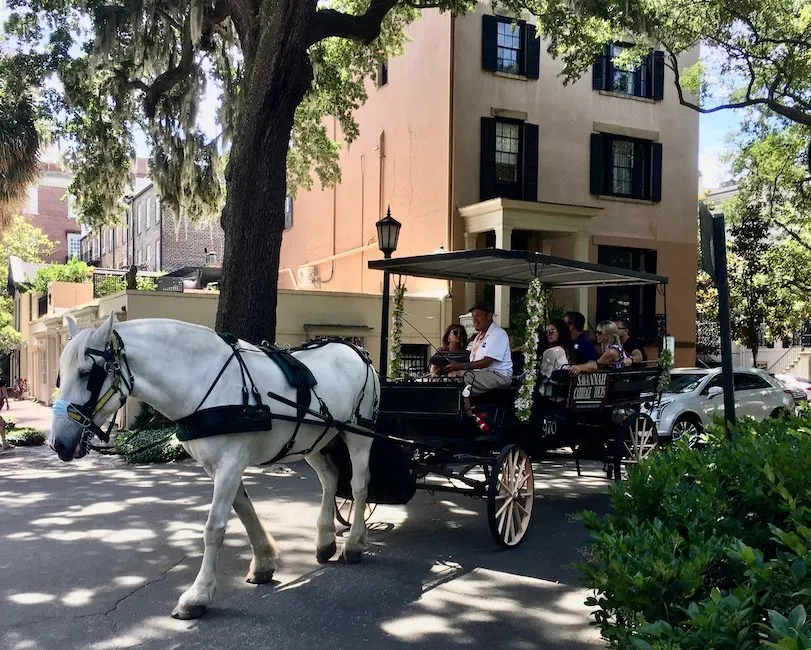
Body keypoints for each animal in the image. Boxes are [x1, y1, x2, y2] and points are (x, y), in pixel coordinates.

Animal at [50, 314, 378, 616]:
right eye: (60, 376)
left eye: (87, 373)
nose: (58, 443)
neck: (204, 383)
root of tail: (356, 351)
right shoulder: (218, 466)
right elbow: (244, 511)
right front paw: (263, 562)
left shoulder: (231, 463)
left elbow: (214, 528)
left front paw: (198, 594)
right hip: (314, 440)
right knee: (330, 479)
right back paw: (326, 541)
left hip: (358, 435)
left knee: (359, 486)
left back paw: (354, 543)